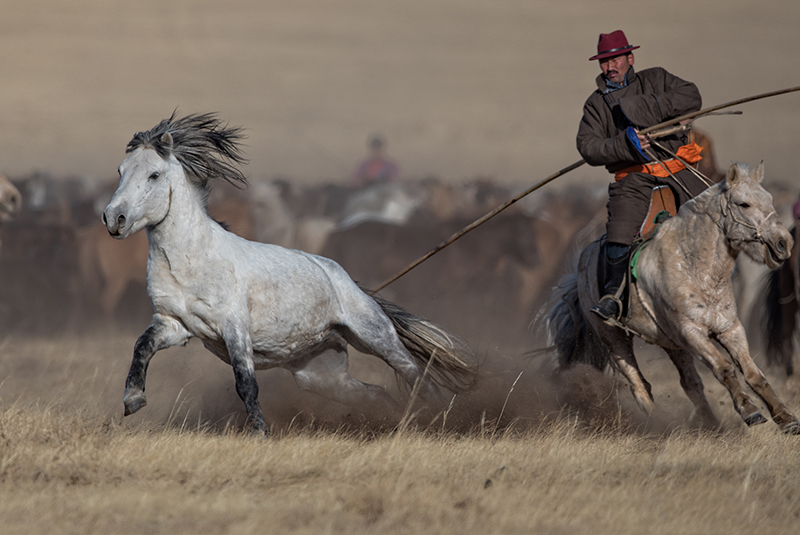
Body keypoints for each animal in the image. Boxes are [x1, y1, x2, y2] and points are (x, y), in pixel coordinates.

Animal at [102, 113, 477, 434]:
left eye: (154, 174)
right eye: (120, 171)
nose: (113, 218)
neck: (190, 261)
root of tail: (345, 279)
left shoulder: (234, 326)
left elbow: (245, 383)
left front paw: (259, 431)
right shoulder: (174, 324)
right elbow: (142, 346)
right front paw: (133, 399)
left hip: (374, 335)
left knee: (419, 377)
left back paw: (443, 418)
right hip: (320, 374)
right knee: (376, 393)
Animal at [545, 162, 800, 434]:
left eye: (770, 200)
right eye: (744, 204)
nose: (784, 242)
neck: (695, 267)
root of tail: (583, 261)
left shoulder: (730, 330)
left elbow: (754, 375)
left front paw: (786, 417)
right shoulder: (692, 332)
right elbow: (725, 368)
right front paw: (750, 410)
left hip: (670, 342)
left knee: (690, 382)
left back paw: (711, 426)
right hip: (613, 336)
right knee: (640, 385)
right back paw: (657, 426)